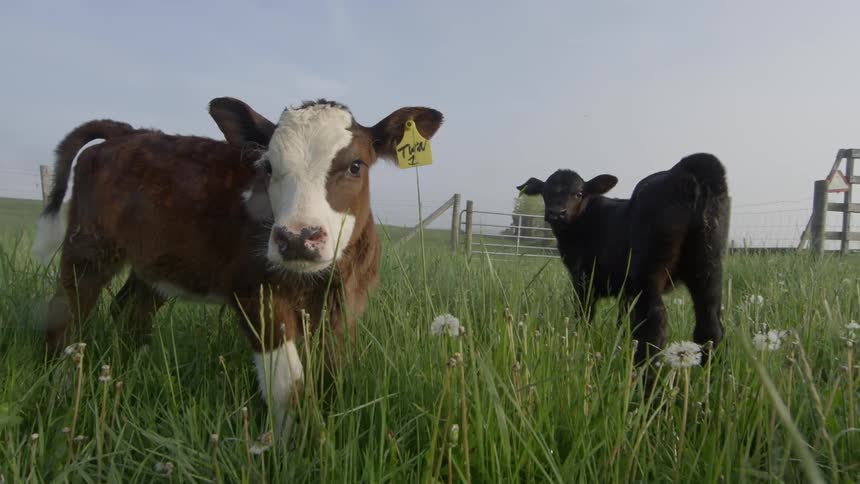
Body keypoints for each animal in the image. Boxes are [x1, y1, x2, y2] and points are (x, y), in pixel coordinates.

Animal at [32, 98, 444, 436]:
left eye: (355, 166)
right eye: (268, 167)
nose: (297, 238)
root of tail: (128, 133)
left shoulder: (344, 306)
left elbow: (332, 375)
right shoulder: (256, 295)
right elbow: (288, 388)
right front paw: (287, 451)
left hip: (155, 265)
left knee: (131, 310)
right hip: (89, 247)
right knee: (65, 311)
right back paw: (60, 390)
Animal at [516, 153, 729, 365]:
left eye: (578, 193)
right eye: (545, 193)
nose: (556, 212)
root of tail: (687, 167)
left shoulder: (583, 279)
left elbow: (584, 315)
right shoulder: (624, 291)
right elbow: (623, 321)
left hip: (648, 272)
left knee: (655, 321)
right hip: (708, 266)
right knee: (710, 323)